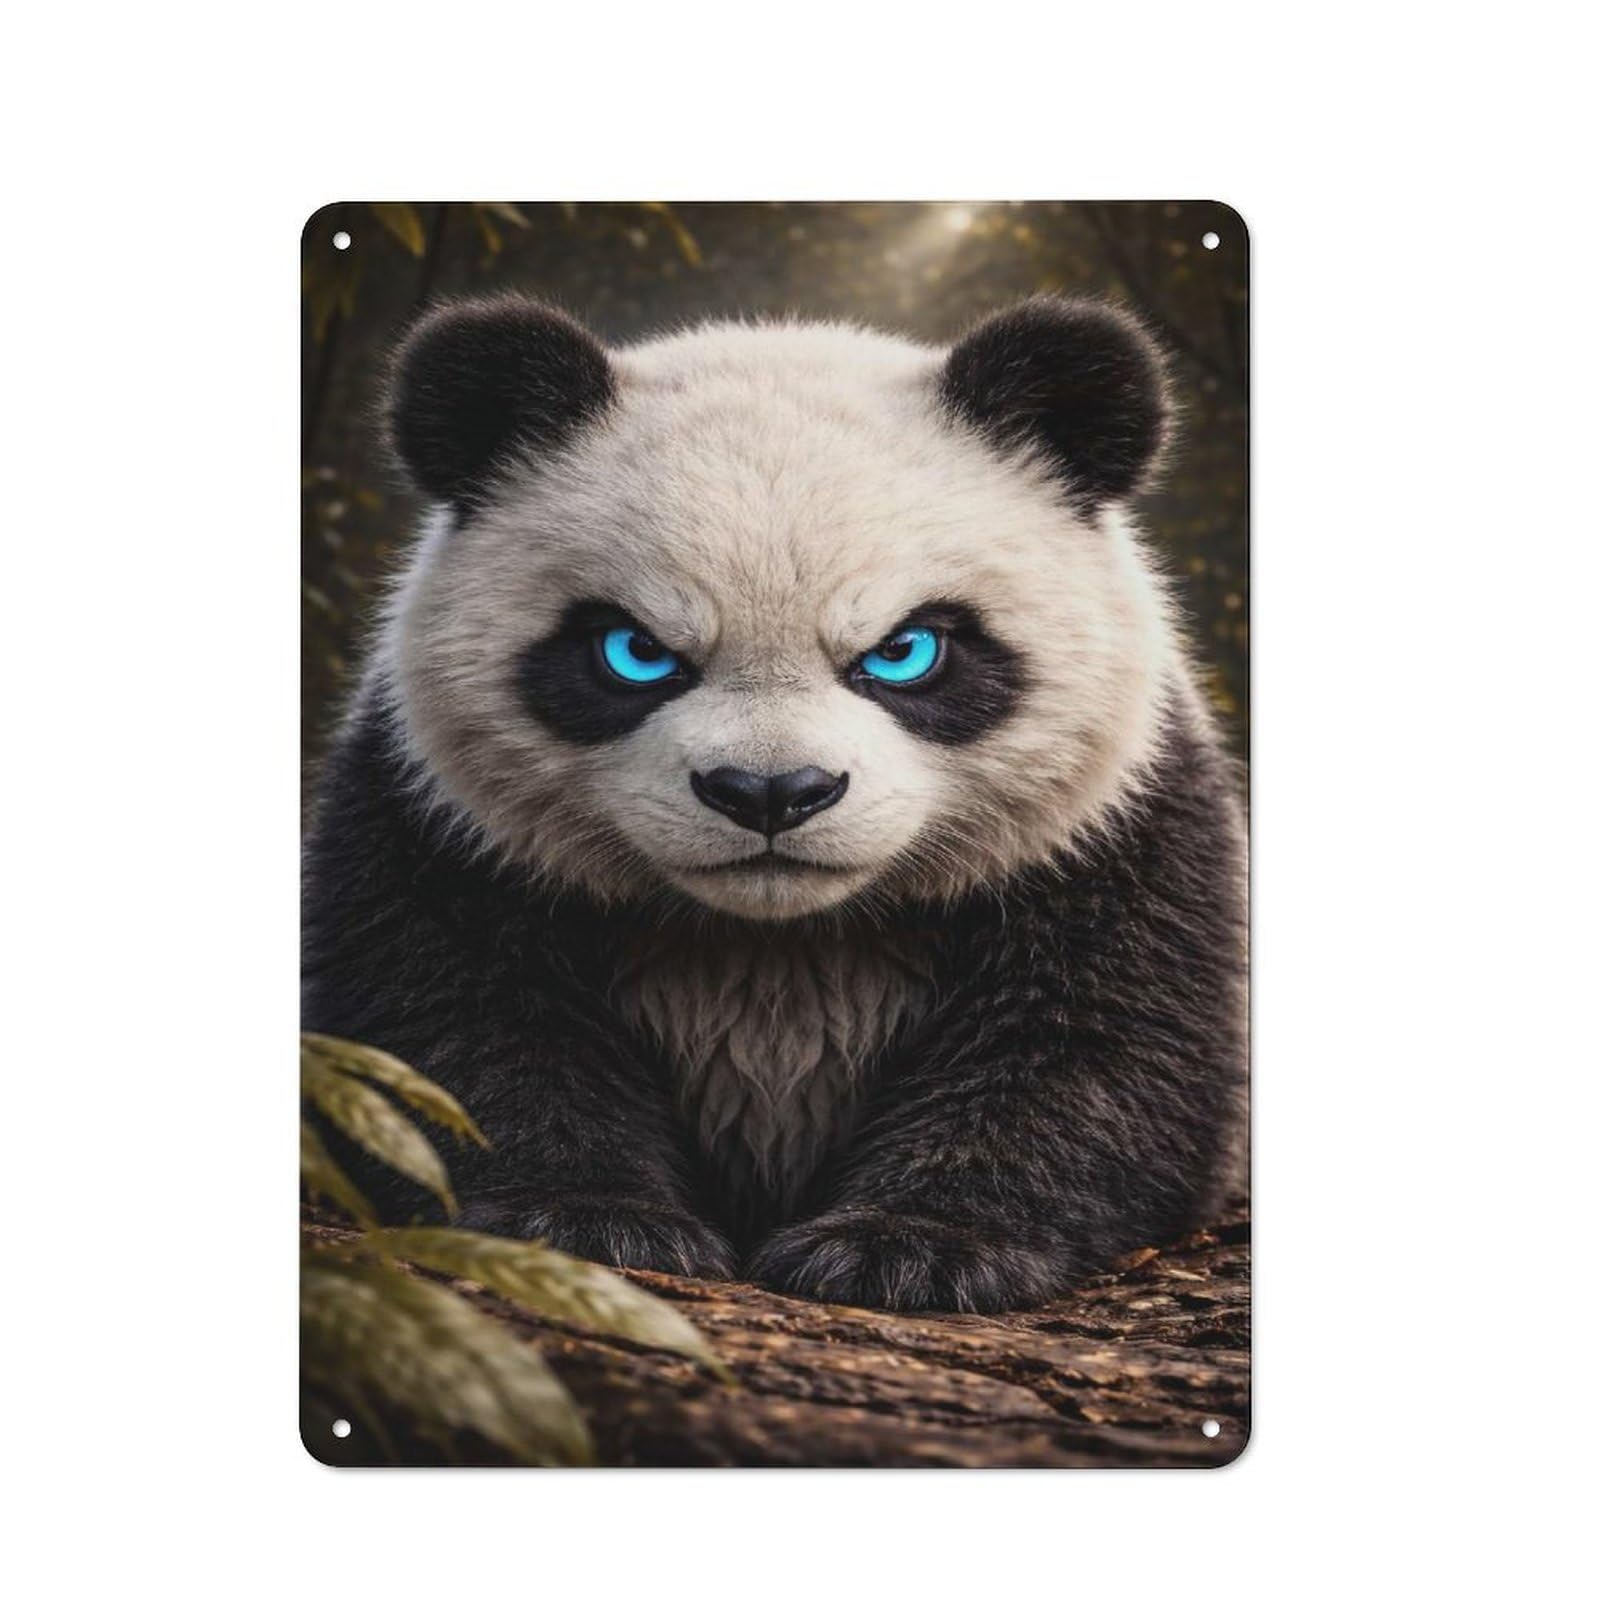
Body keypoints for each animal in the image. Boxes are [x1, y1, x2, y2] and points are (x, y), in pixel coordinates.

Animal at [302, 293, 1247, 1313]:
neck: (776, 936)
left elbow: (1097, 1044)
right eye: (634, 651)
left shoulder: (1115, 827)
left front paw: (910, 1248)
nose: (769, 792)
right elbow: (450, 1026)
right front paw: (585, 1218)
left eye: (906, 650)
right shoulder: (435, 821)